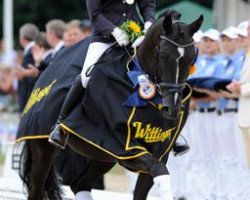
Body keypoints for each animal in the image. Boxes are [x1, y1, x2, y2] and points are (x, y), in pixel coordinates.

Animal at [17, 12, 201, 200]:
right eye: (163, 54)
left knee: (80, 184)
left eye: (191, 58)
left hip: (101, 154)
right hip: (43, 148)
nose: (172, 108)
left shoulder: (157, 153)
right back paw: (57, 133)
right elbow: (159, 171)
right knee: (37, 189)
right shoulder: (127, 148)